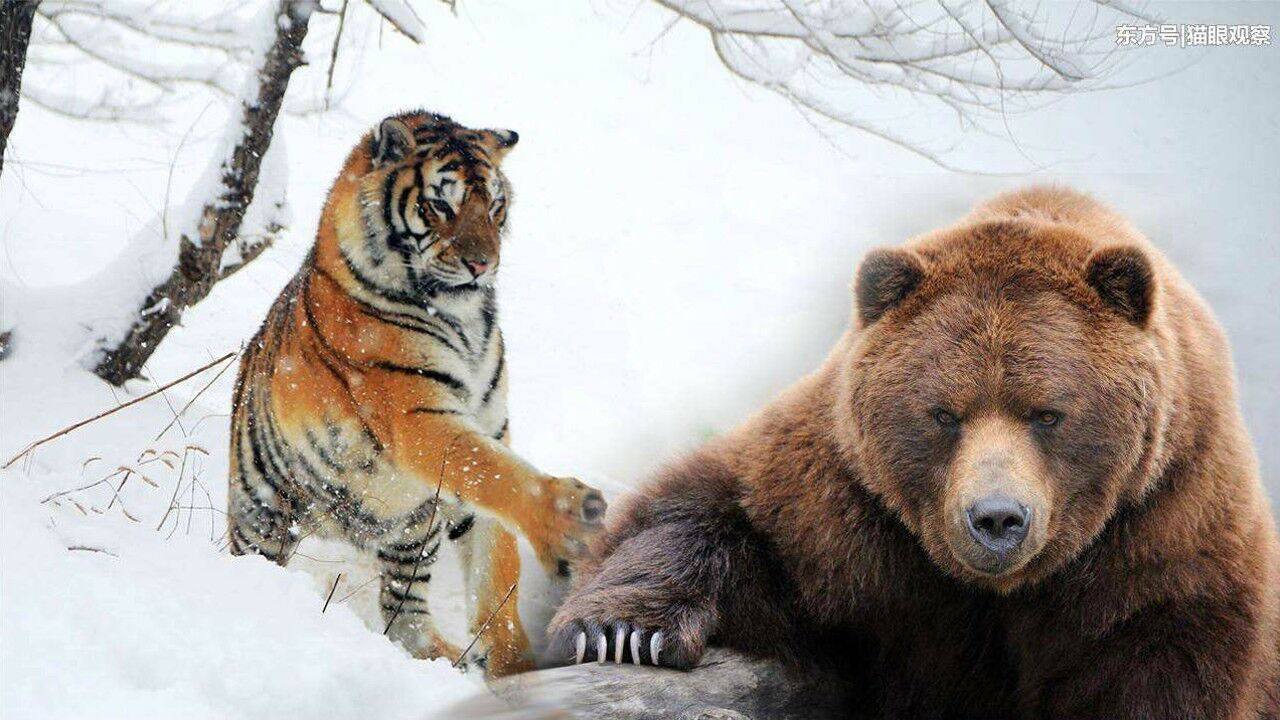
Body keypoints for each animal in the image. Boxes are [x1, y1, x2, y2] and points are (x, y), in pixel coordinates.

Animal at [227, 110, 607, 677]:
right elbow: (491, 471)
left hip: (411, 533)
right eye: (439, 206)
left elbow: (498, 560)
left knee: (403, 613)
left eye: (495, 207)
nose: (482, 264)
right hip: (263, 518)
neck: (465, 320)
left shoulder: (493, 425)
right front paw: (568, 524)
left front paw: (513, 667)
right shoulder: (416, 413)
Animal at [549, 186, 1280, 718]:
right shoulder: (849, 511)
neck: (998, 590)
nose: (996, 519)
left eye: (1047, 413)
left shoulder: (1163, 537)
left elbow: (1157, 669)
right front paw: (624, 631)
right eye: (944, 414)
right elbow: (717, 511)